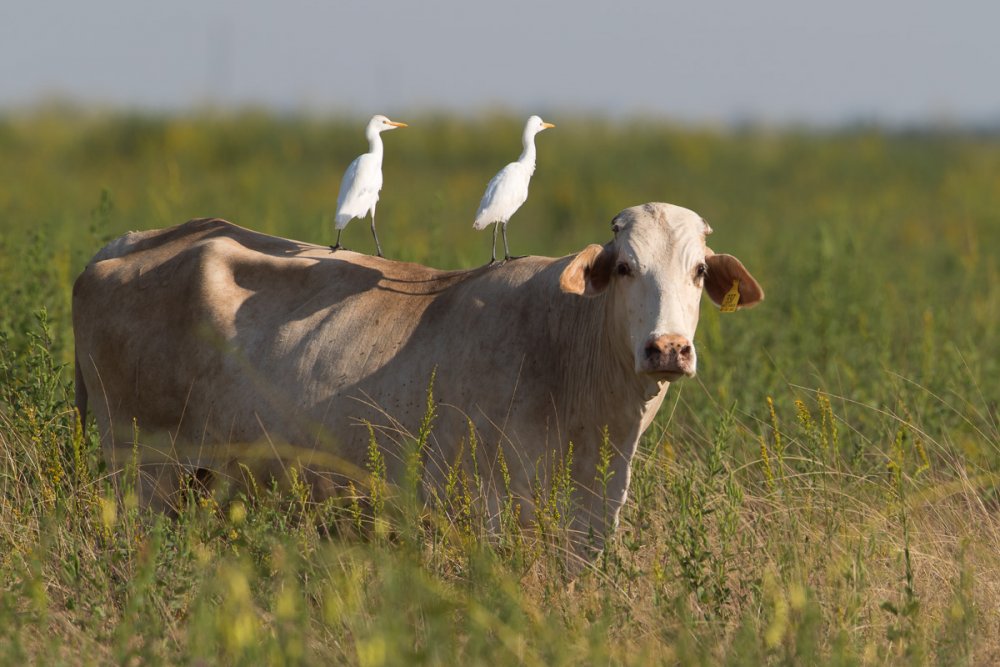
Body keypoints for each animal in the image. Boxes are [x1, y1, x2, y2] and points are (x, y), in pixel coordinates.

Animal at [74, 204, 760, 552]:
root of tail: (130, 242)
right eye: (623, 267)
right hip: (140, 468)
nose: (667, 349)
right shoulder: (490, 508)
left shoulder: (590, 522)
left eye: (699, 271)